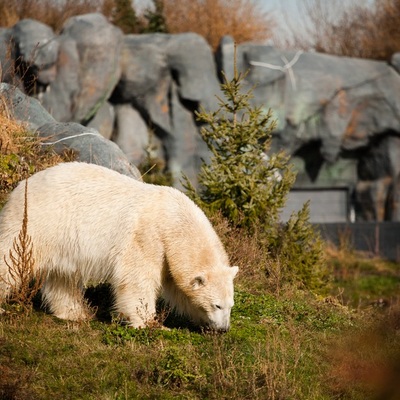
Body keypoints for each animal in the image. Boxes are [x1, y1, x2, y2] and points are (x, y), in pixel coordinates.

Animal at [0, 161, 238, 330]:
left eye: (230, 305)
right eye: (217, 304)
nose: (223, 329)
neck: (173, 219)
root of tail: (20, 186)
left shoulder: (168, 257)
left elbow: (179, 290)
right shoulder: (147, 237)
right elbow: (137, 279)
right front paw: (151, 325)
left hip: (62, 240)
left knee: (63, 277)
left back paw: (76, 313)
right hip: (38, 223)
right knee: (11, 258)